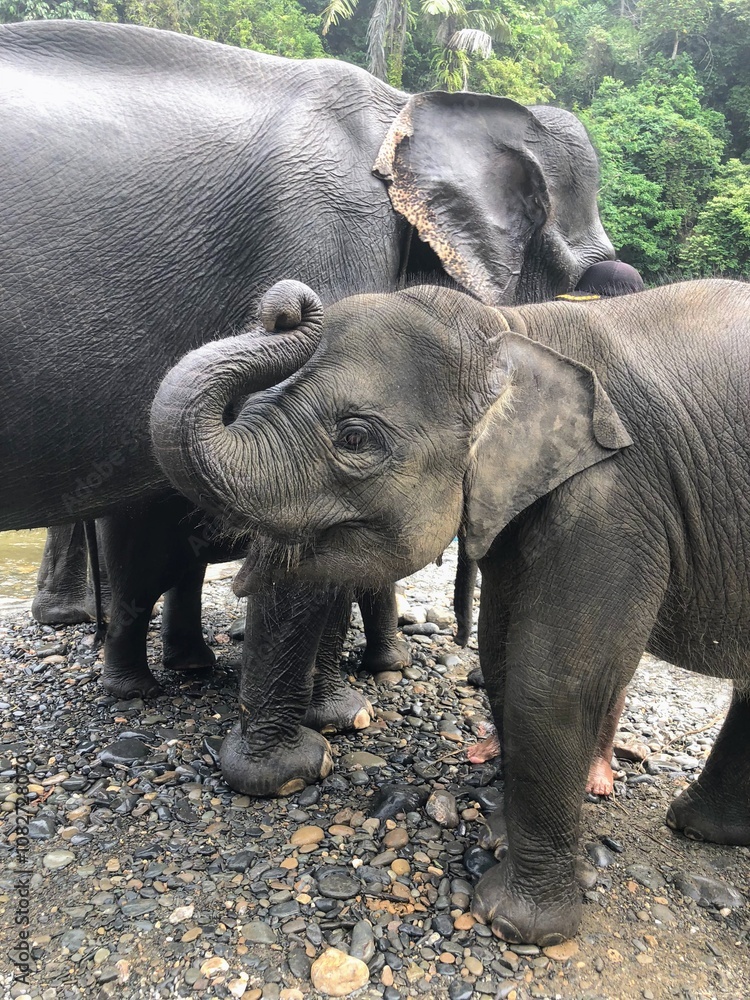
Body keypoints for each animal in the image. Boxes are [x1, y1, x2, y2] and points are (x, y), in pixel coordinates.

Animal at [1, 18, 613, 793]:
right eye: (584, 276)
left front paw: (343, 713)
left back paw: (179, 672)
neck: (405, 108)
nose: (286, 305)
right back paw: (136, 690)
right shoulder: (326, 231)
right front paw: (294, 764)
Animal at [150, 277, 750, 945]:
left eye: (355, 438)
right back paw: (699, 827)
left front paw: (515, 925)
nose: (288, 305)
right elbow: (499, 650)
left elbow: (555, 683)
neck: (514, 328)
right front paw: (498, 830)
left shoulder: (615, 499)